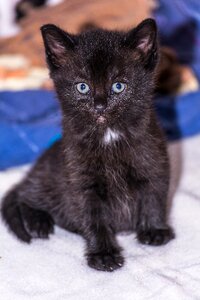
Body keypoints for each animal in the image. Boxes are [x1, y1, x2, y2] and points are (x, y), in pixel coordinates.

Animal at [1, 18, 173, 272]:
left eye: (118, 86)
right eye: (82, 87)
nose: (99, 106)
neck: (109, 136)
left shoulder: (154, 159)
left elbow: (155, 195)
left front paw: (154, 231)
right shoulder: (80, 179)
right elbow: (93, 217)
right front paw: (103, 254)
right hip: (48, 177)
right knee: (24, 193)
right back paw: (38, 222)